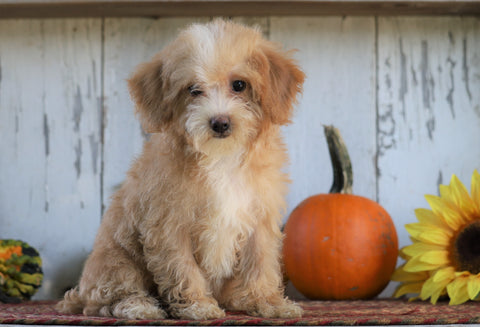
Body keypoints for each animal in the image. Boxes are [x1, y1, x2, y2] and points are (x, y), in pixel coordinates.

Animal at [56, 19, 304, 322]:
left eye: (239, 85)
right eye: (193, 89)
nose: (220, 122)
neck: (221, 159)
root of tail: (80, 291)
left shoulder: (260, 218)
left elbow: (261, 263)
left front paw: (269, 303)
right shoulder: (169, 225)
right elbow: (183, 267)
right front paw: (198, 306)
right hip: (115, 263)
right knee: (106, 300)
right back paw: (140, 307)